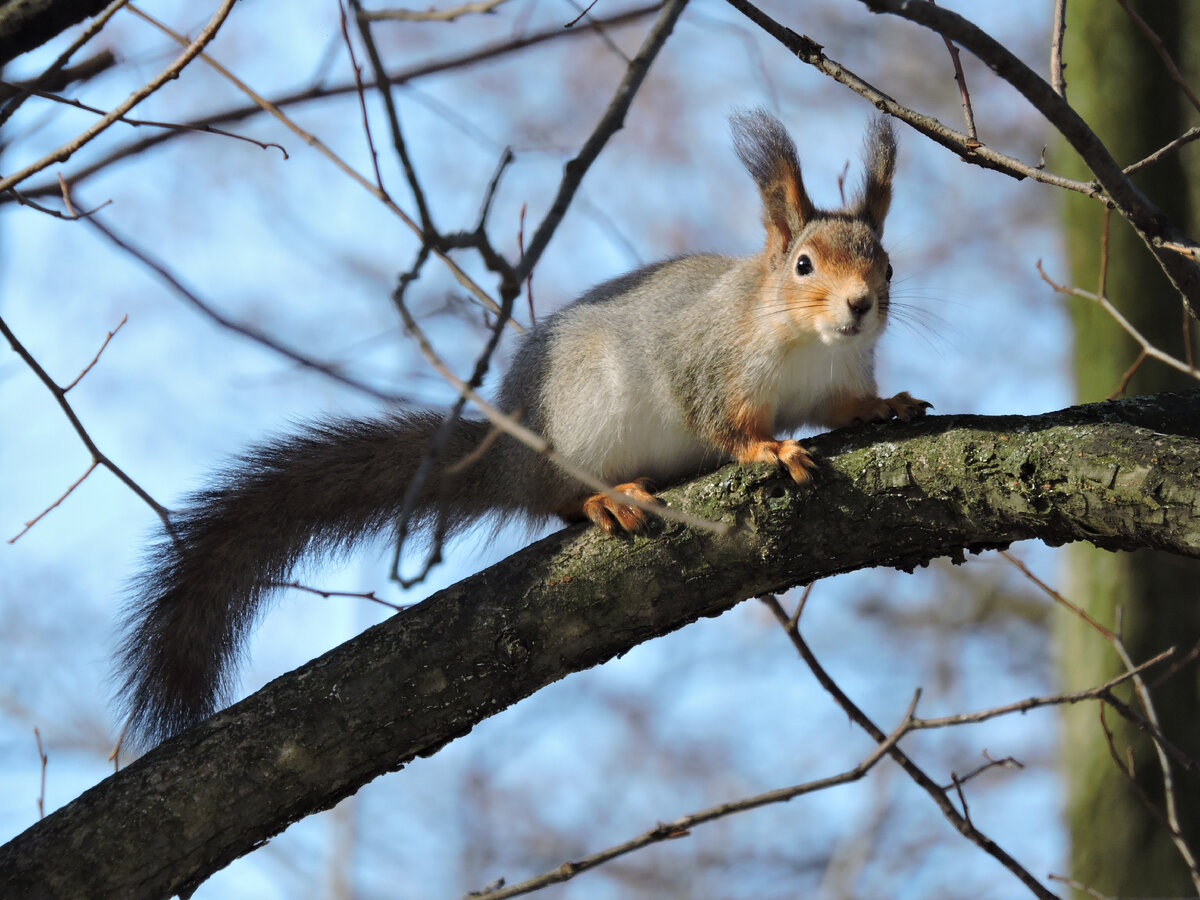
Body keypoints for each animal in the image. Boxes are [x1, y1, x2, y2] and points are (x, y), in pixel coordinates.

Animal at [114, 109, 926, 748]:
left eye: (887, 266)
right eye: (802, 265)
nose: (860, 307)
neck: (804, 342)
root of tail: (509, 457)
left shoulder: (839, 377)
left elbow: (845, 408)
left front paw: (886, 407)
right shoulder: (705, 362)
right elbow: (719, 420)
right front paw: (769, 447)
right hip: (584, 425)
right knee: (556, 501)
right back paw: (605, 499)